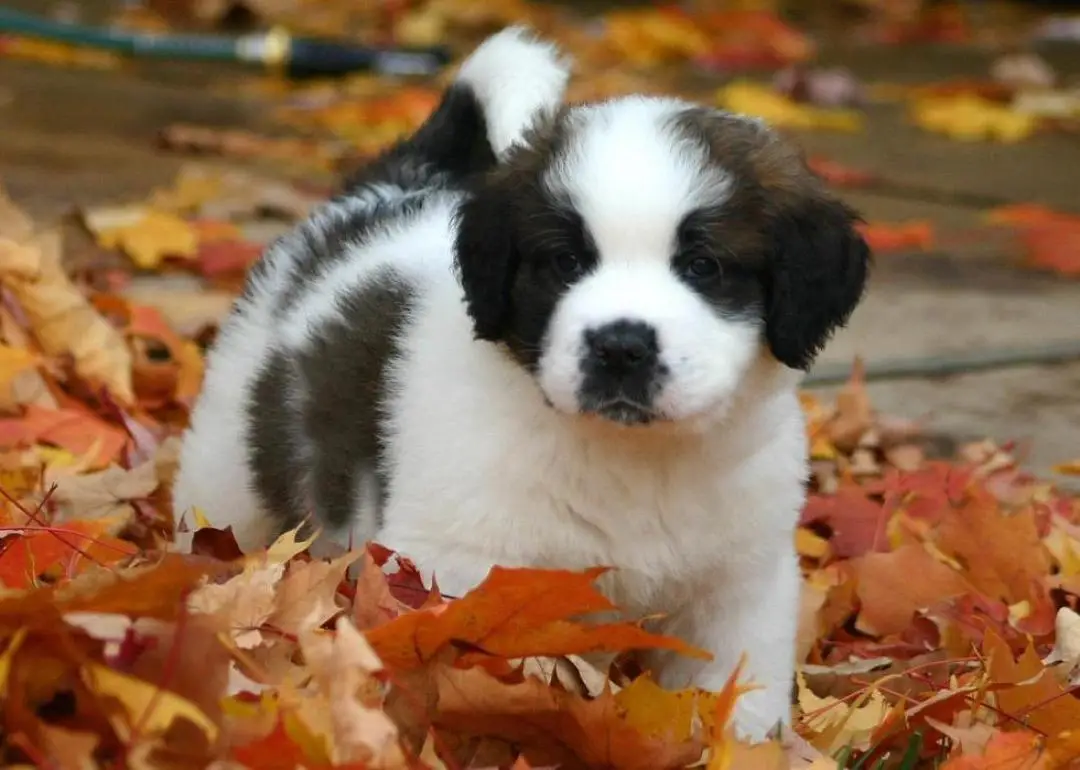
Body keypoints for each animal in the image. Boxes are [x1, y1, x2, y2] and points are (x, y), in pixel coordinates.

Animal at [174, 28, 868, 738]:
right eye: (565, 261)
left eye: (704, 266)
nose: (620, 346)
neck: (633, 459)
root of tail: (382, 192)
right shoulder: (455, 567)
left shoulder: (740, 585)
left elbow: (734, 695)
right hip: (226, 468)